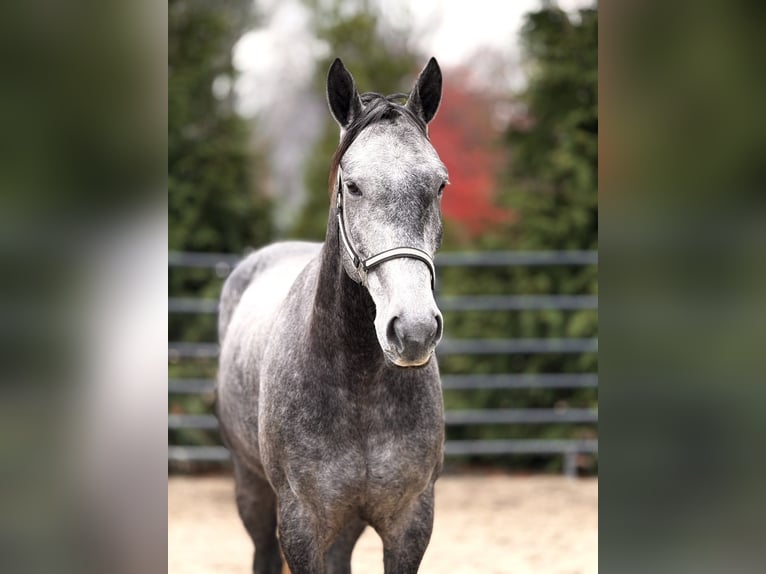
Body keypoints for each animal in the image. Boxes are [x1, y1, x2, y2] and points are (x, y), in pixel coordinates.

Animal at [216, 57, 448, 574]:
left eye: (439, 184)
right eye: (352, 185)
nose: (414, 330)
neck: (358, 383)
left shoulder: (410, 523)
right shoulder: (301, 526)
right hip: (251, 490)